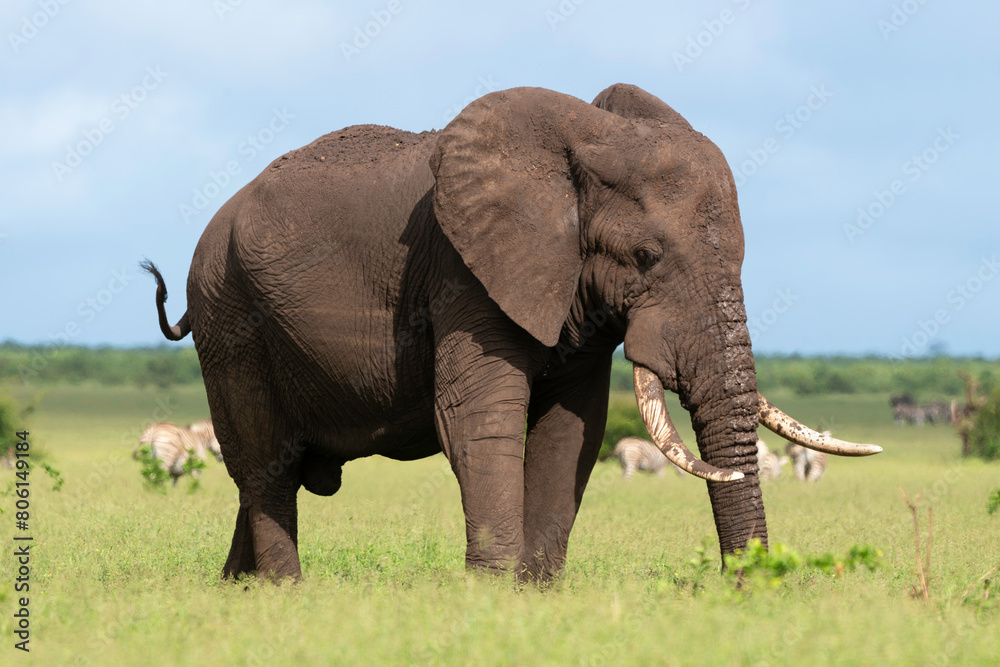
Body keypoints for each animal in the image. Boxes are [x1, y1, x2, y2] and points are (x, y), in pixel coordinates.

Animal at [143, 84, 880, 582]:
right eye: (646, 257)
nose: (744, 583)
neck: (588, 140)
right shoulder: (462, 271)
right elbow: (479, 417)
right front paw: (490, 593)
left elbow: (572, 428)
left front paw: (535, 594)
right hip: (229, 316)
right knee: (265, 465)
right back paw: (283, 592)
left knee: (270, 472)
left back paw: (235, 590)